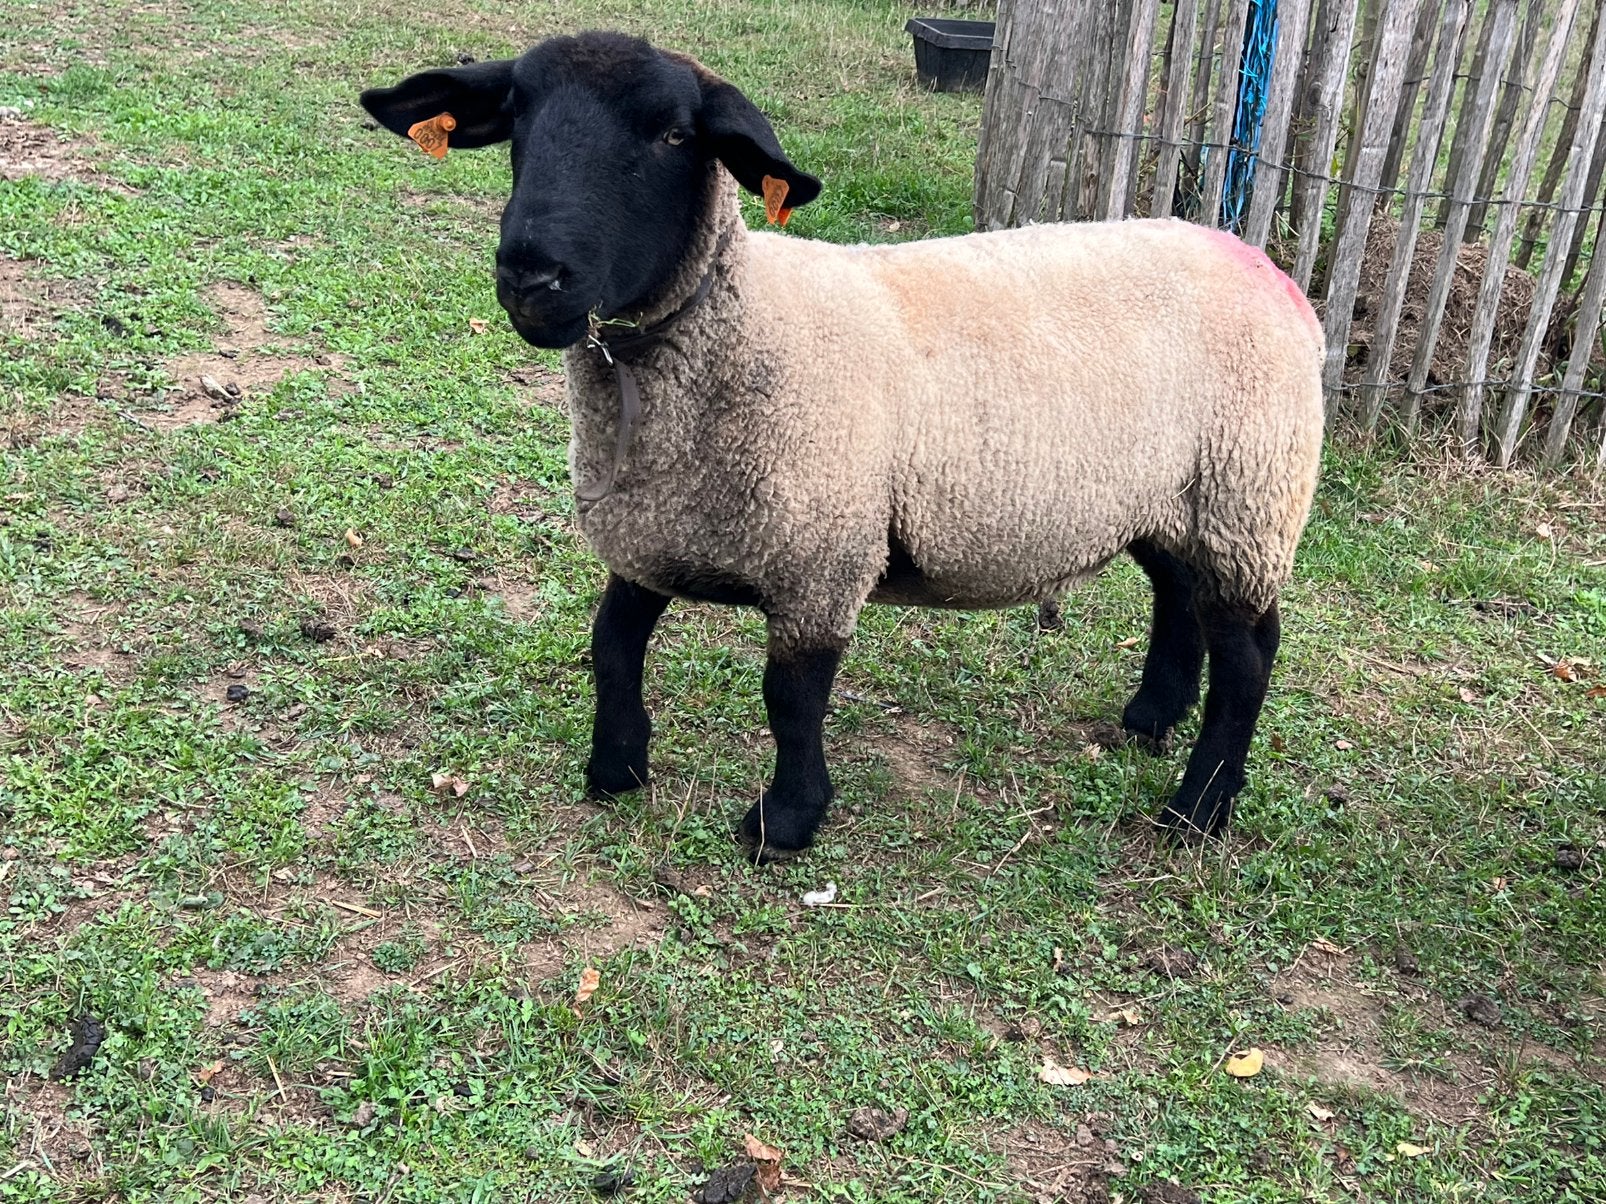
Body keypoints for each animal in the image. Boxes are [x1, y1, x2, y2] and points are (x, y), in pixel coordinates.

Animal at [360, 31, 1325, 860]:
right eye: (517, 118)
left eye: (673, 134)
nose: (531, 276)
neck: (746, 326)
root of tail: (1263, 264)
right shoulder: (656, 533)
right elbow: (611, 645)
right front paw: (616, 768)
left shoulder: (821, 555)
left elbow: (790, 698)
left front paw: (784, 821)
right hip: (1171, 495)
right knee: (1177, 593)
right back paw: (1153, 715)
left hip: (1250, 494)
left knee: (1248, 657)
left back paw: (1198, 807)